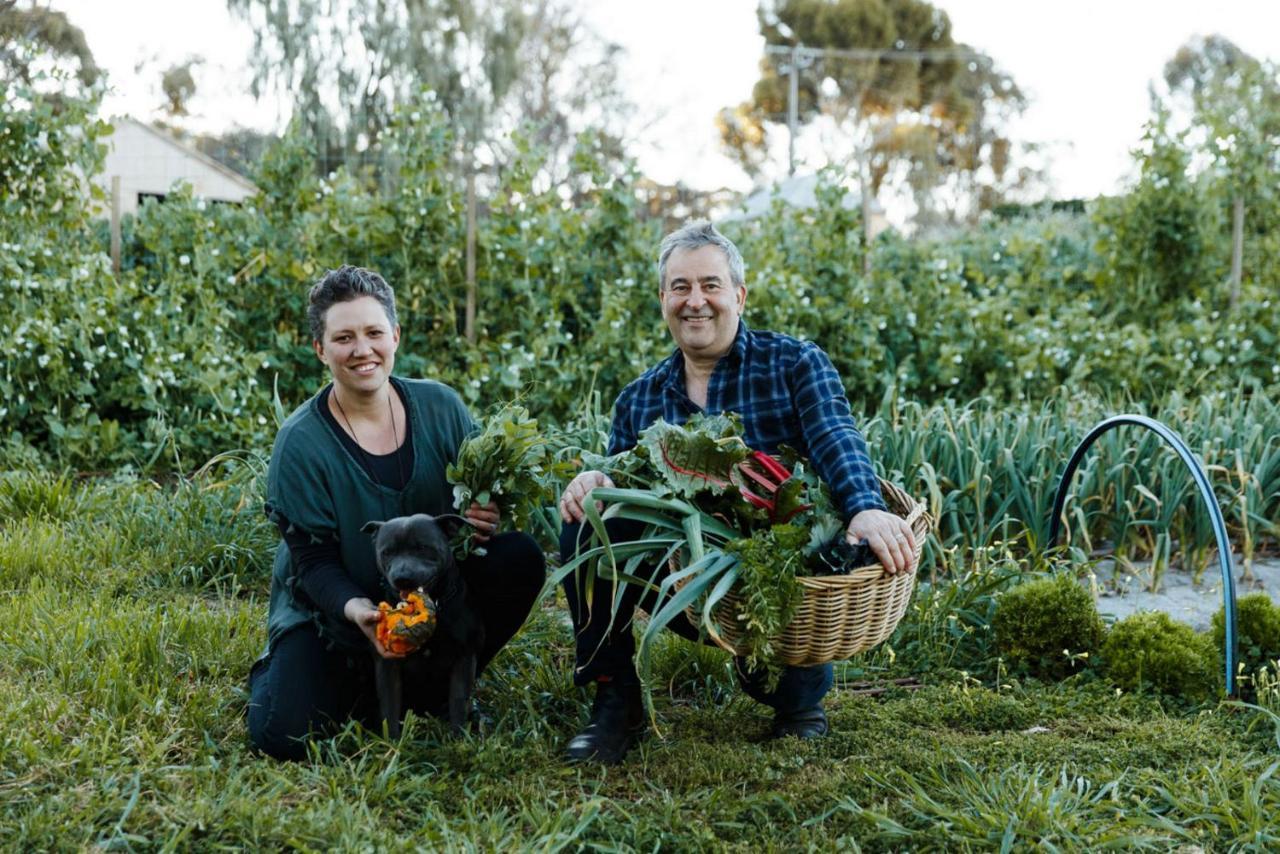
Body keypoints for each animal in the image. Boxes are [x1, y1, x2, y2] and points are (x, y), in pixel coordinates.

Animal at [360, 514, 483, 742]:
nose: (402, 578)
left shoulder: (464, 657)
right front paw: (393, 744)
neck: (435, 604)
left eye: (423, 548)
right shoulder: (388, 665)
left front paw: (460, 740)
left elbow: (458, 701)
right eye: (387, 552)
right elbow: (390, 708)